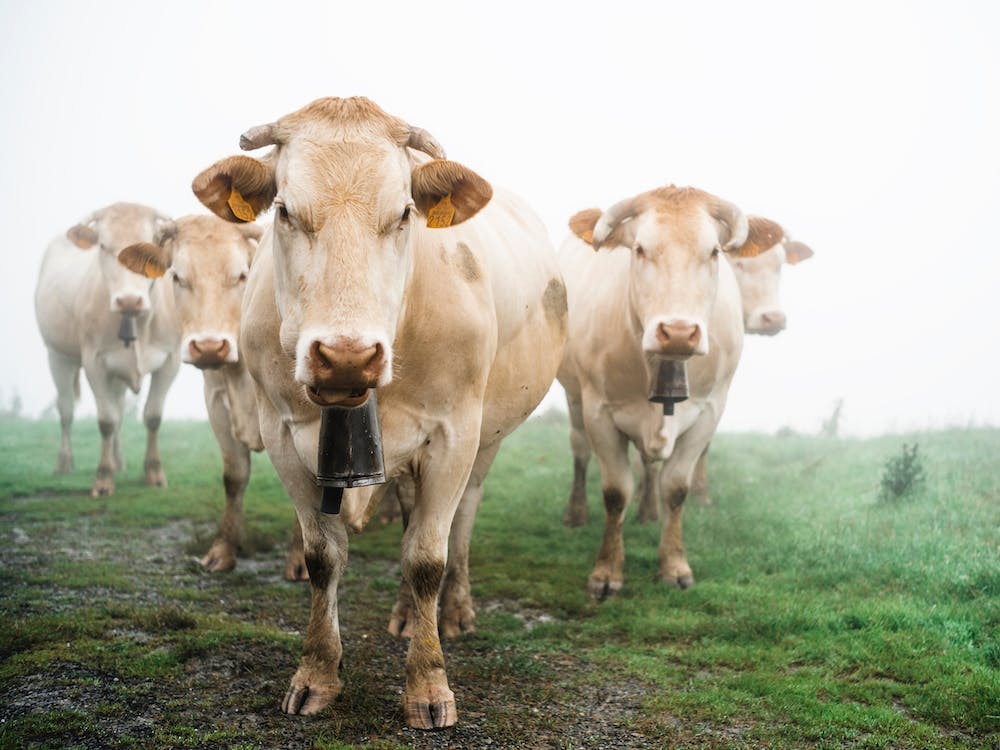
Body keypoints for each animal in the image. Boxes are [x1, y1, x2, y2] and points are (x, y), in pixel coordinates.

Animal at [35, 203, 181, 497]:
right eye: (103, 246)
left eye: (150, 245)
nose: (129, 300)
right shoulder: (95, 362)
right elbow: (106, 420)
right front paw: (103, 478)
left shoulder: (170, 360)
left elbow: (152, 416)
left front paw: (154, 473)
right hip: (58, 356)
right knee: (66, 409)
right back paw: (64, 463)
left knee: (120, 407)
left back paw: (119, 460)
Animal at [117, 215, 307, 581]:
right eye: (177, 276)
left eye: (241, 275)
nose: (208, 347)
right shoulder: (217, 405)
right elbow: (234, 478)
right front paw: (222, 552)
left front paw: (301, 560)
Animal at [190, 96, 567, 728]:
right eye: (285, 210)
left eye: (405, 212)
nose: (346, 356)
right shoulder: (283, 433)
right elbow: (323, 556)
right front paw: (317, 674)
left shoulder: (454, 433)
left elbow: (427, 558)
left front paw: (428, 686)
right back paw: (408, 615)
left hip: (486, 439)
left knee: (458, 522)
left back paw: (452, 611)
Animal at [556, 186, 766, 599]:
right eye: (639, 249)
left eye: (714, 251)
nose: (680, 332)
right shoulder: (599, 411)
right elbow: (615, 491)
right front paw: (607, 572)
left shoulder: (707, 412)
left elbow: (676, 488)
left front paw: (674, 565)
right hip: (574, 398)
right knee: (579, 450)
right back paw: (576, 512)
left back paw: (648, 513)